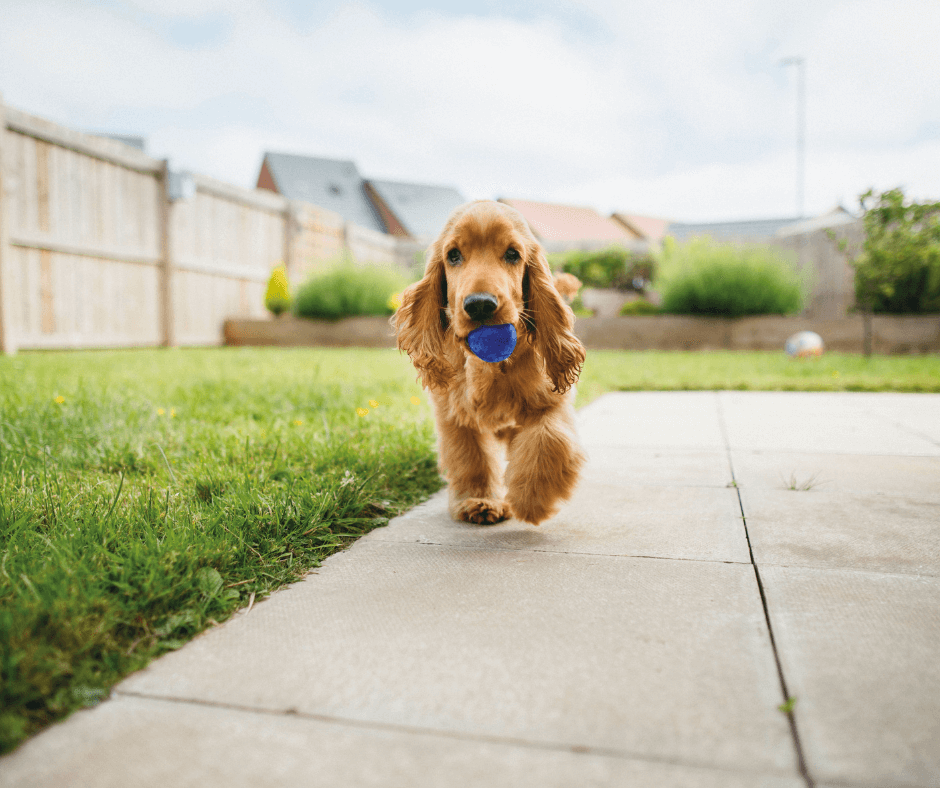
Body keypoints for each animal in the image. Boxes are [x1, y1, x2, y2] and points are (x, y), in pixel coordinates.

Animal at [392, 200, 584, 528]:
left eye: (512, 254)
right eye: (453, 255)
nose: (480, 305)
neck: (491, 365)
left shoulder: (551, 402)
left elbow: (548, 439)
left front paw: (532, 499)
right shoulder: (455, 413)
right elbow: (472, 457)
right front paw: (480, 500)